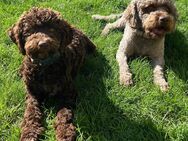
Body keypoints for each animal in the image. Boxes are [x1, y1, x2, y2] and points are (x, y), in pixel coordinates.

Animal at [8, 7, 95, 141]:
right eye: (30, 31)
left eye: (52, 29)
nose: (42, 44)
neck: (45, 66)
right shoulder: (32, 93)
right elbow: (31, 112)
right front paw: (30, 132)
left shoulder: (68, 93)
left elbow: (64, 114)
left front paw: (65, 133)